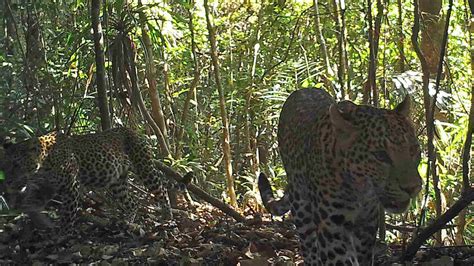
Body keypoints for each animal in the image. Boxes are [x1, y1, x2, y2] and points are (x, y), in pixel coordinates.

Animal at [0, 127, 174, 235]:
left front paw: (63, 235)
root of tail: (134, 131)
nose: (7, 183)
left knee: (162, 189)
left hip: (144, 167)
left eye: (16, 165)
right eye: (4, 165)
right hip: (118, 181)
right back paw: (127, 222)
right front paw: (43, 223)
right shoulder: (44, 188)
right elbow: (30, 206)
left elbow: (67, 215)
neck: (42, 166)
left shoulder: (71, 187)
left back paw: (167, 217)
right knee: (132, 202)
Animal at [260, 88, 422, 264]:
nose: (413, 188)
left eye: (414, 150)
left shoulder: (367, 226)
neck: (360, 190)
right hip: (301, 206)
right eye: (381, 155)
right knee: (309, 246)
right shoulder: (332, 228)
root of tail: (303, 89)